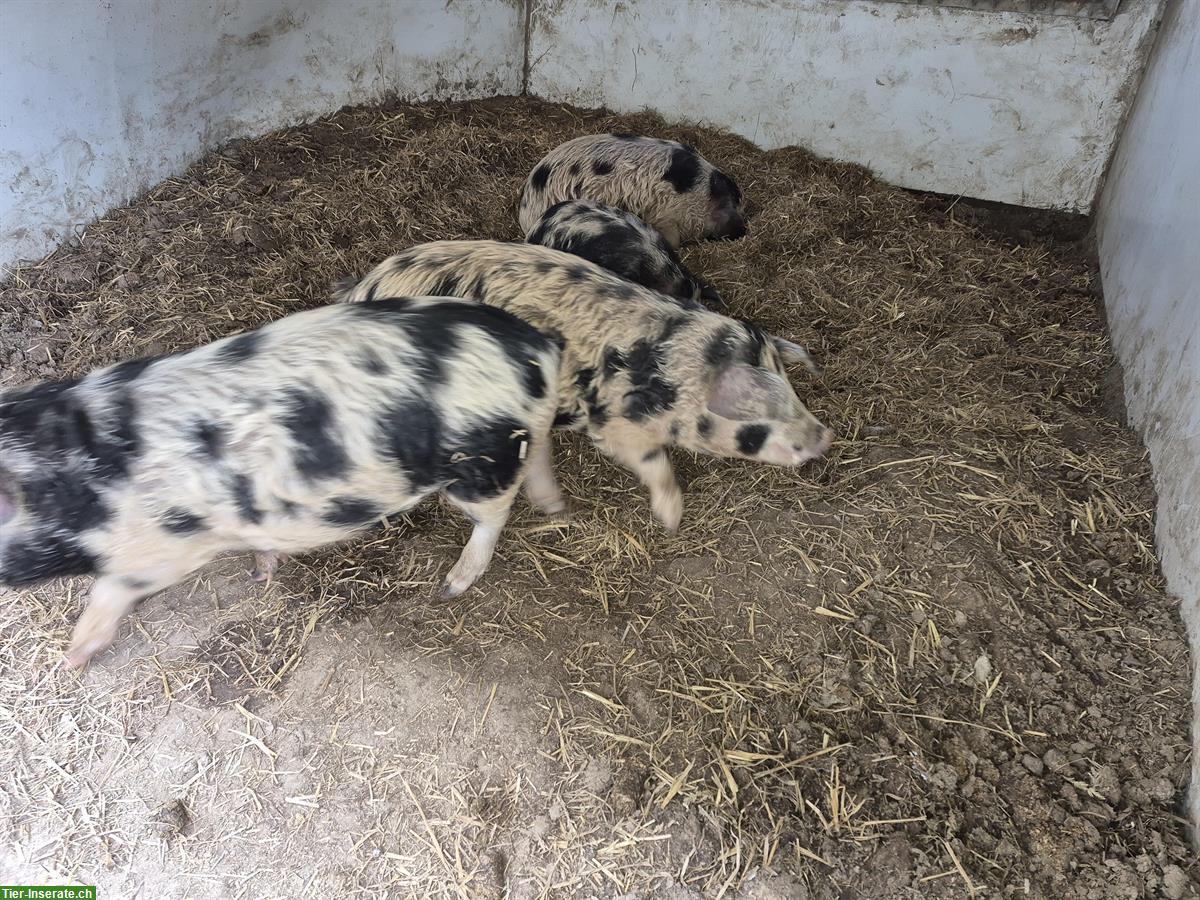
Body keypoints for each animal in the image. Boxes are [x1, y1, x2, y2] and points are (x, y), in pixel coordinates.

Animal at [0, 297, 563, 668]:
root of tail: (537, 345)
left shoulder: (159, 551)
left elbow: (110, 590)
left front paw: (72, 659)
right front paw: (260, 572)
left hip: (480, 462)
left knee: (494, 514)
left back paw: (453, 583)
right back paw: (554, 506)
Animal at [334, 241, 832, 533]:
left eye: (794, 394)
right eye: (759, 415)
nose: (825, 436)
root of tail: (362, 292)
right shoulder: (614, 421)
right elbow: (654, 462)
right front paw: (671, 522)